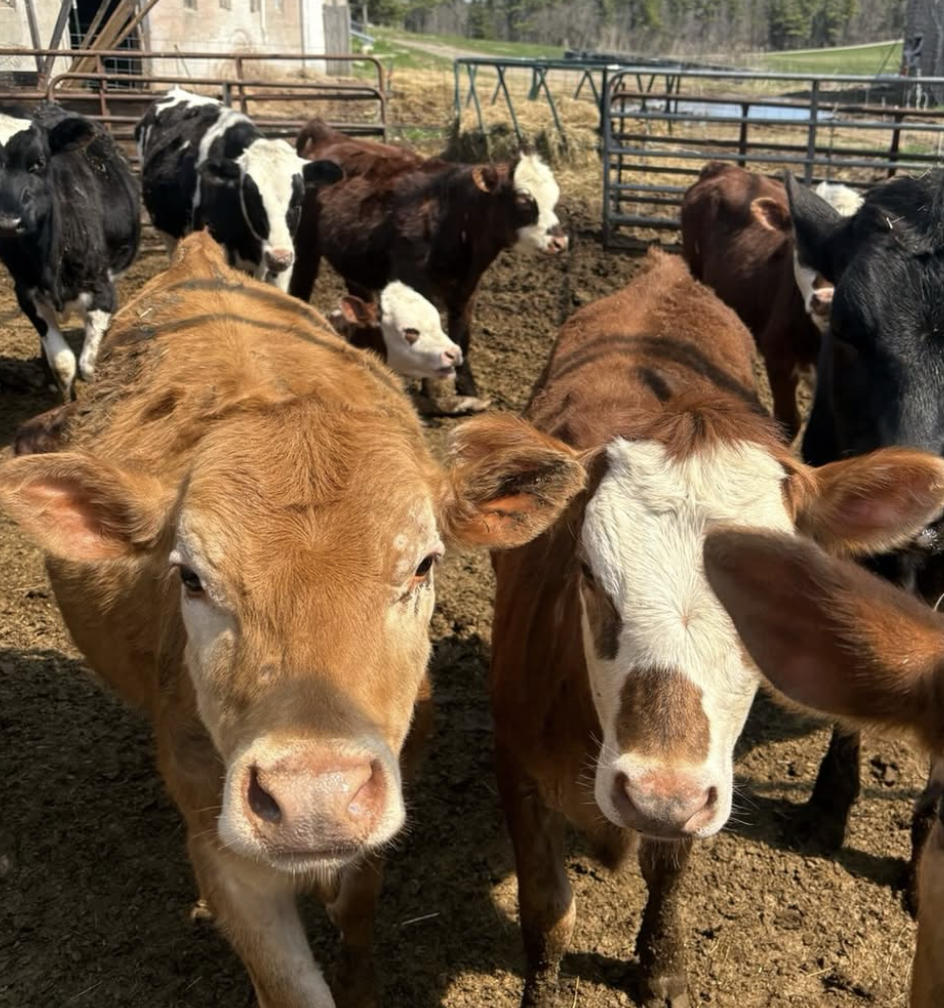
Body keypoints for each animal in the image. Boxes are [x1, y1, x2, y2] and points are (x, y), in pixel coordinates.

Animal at [0, 102, 139, 400]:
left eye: (39, 162)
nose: (7, 222)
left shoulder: (102, 289)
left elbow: (87, 365)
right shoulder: (25, 292)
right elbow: (63, 363)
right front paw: (65, 396)